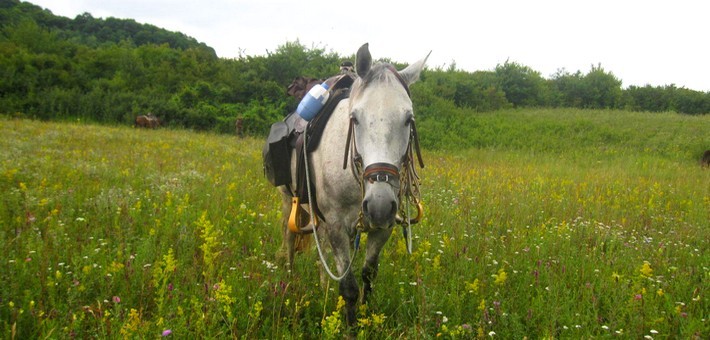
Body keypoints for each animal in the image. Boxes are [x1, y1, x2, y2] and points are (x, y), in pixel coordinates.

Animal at [280, 43, 432, 326]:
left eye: (408, 119)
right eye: (355, 118)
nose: (379, 205)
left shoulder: (382, 228)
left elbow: (368, 276)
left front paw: (366, 321)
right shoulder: (336, 225)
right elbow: (349, 287)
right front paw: (351, 327)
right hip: (288, 201)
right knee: (290, 240)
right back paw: (288, 281)